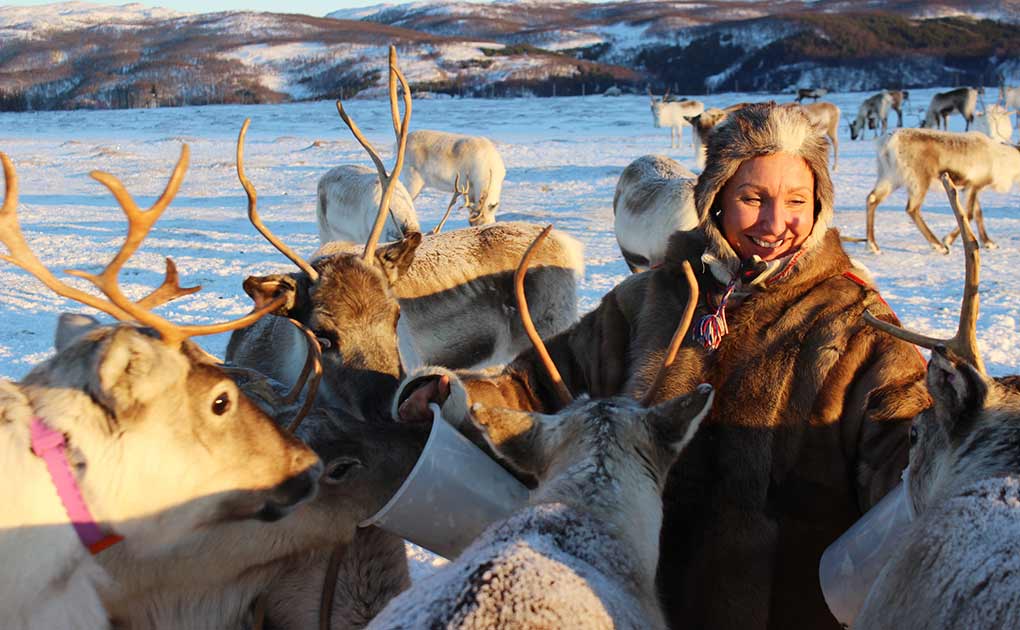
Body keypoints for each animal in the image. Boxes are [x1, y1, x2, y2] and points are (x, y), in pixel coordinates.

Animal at [863, 127, 1020, 254]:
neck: (1003, 160)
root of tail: (888, 143)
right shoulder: (974, 186)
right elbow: (968, 214)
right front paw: (948, 239)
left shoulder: (969, 188)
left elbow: (977, 214)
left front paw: (988, 243)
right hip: (919, 180)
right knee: (912, 209)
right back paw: (939, 246)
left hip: (890, 177)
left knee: (872, 198)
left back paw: (873, 246)